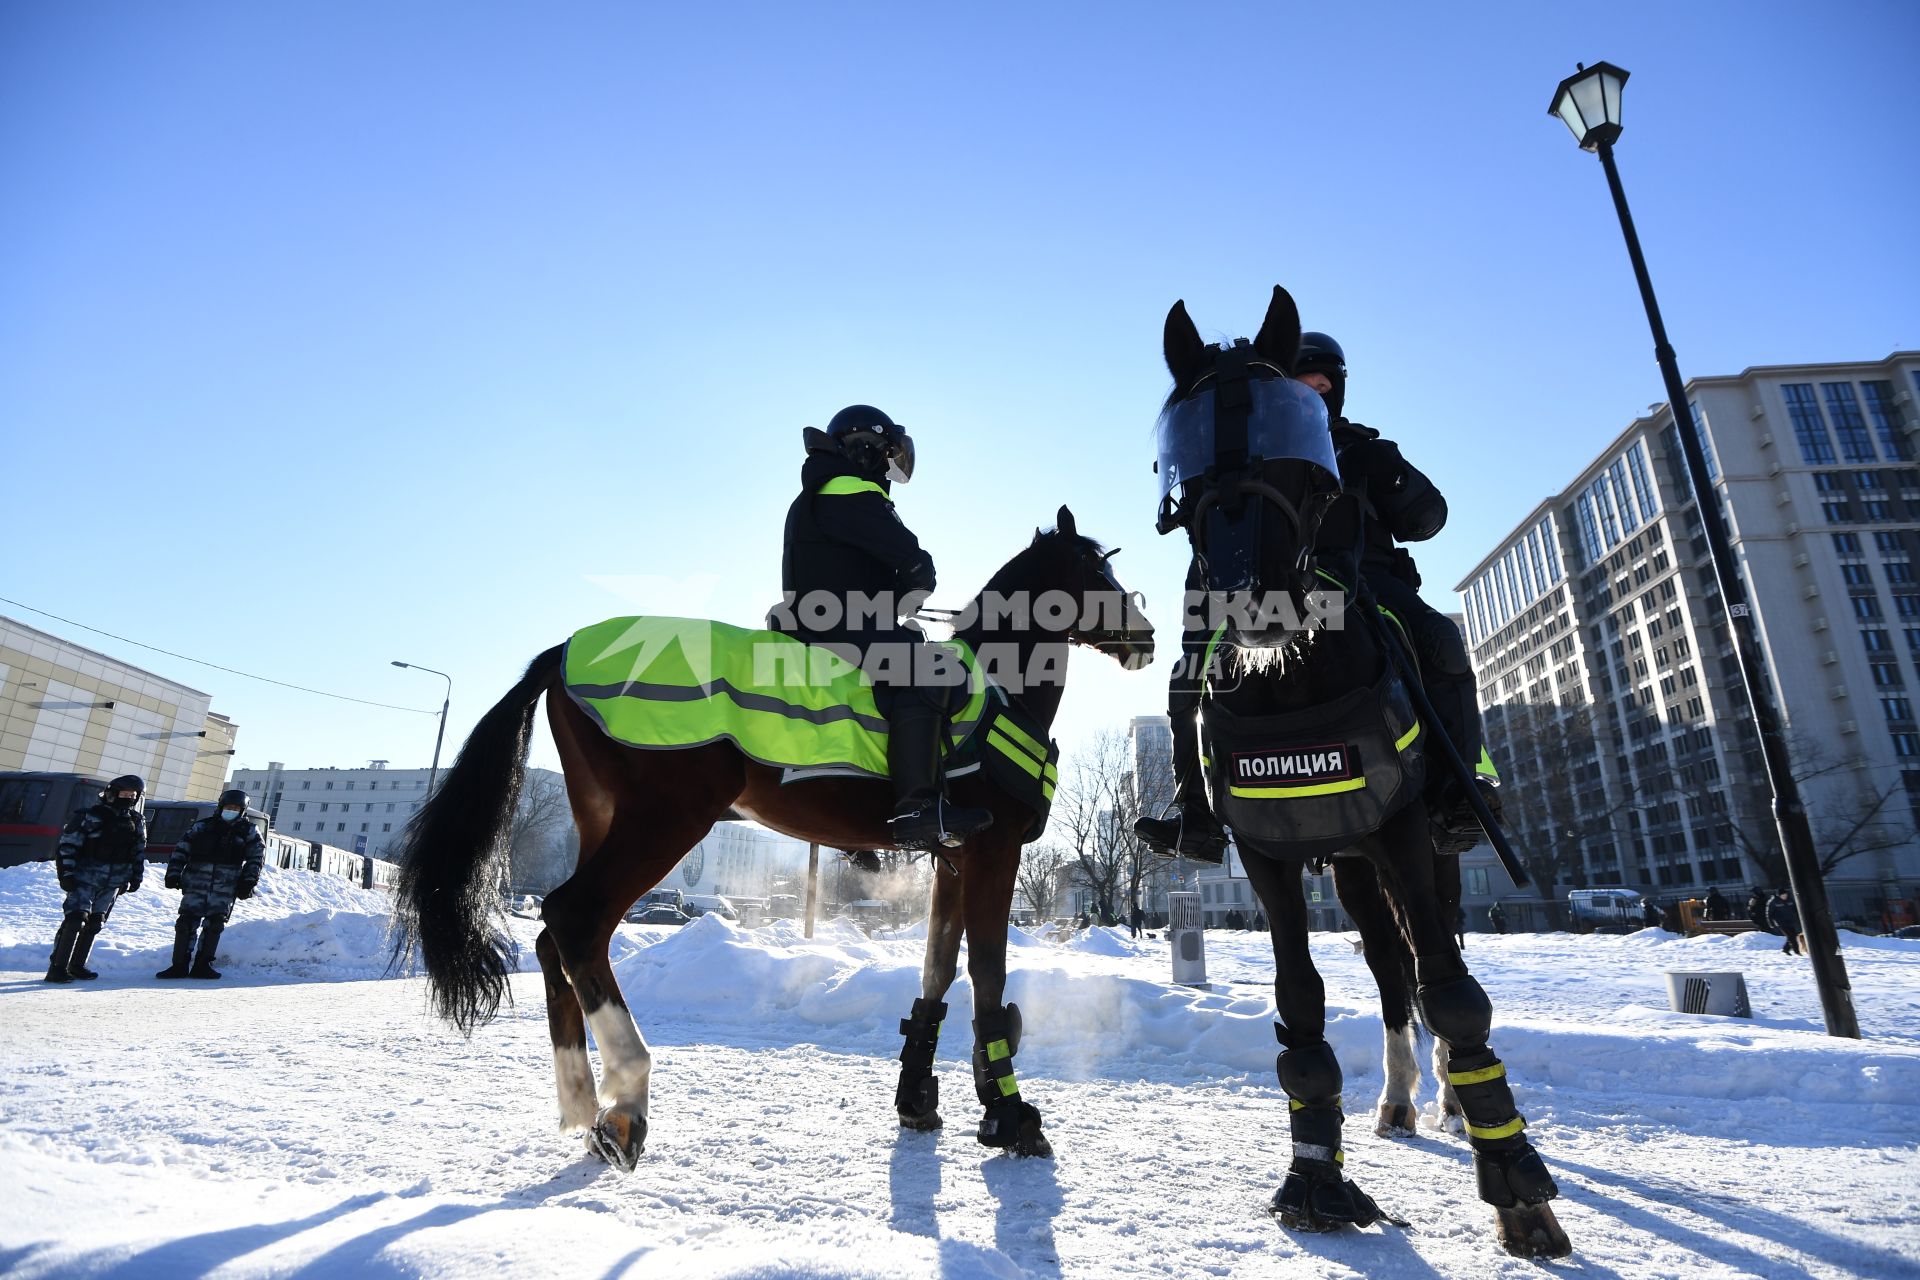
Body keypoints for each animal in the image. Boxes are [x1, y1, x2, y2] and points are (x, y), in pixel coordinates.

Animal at [385, 506, 1136, 1174]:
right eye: (1093, 569)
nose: (1147, 635)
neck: (999, 687)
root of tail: (564, 654)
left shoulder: (952, 860)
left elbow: (938, 970)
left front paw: (919, 1100)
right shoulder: (992, 852)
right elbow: (988, 974)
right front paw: (1010, 1116)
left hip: (605, 820)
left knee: (556, 939)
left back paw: (582, 1104)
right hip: (665, 820)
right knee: (575, 918)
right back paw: (626, 1101)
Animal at [1144, 289, 1566, 1258]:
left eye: (1303, 460)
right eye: (1189, 464)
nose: (1248, 603)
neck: (1295, 677)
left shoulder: (1405, 835)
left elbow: (1455, 993)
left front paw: (1515, 1186)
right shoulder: (1269, 855)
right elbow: (1302, 997)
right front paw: (1316, 1176)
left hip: (1427, 854)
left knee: (1435, 963)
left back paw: (1452, 1097)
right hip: (1351, 869)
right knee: (1388, 971)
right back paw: (1399, 1099)